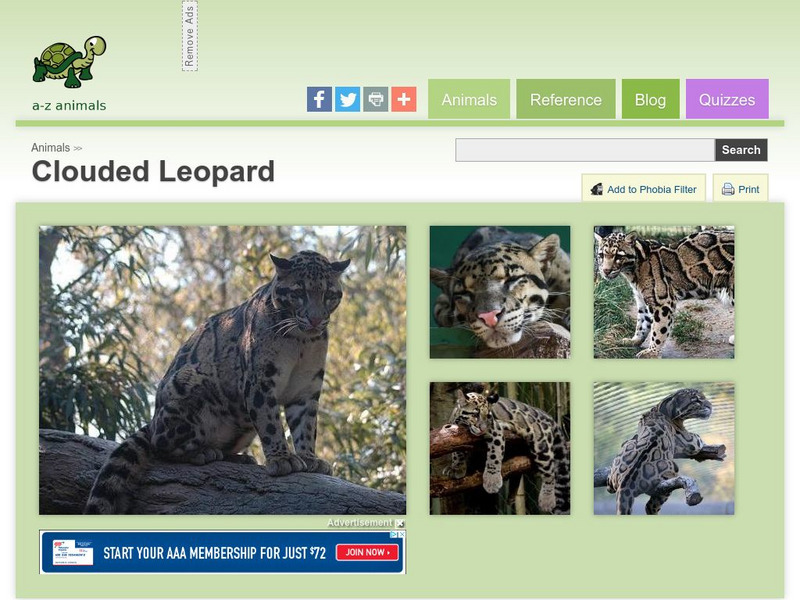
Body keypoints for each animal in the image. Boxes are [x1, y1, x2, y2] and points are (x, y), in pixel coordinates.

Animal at [84, 250, 350, 514]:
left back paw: (239, 458)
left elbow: (306, 426)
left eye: (328, 295)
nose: (315, 320)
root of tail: (153, 417)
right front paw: (282, 459)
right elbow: (271, 424)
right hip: (188, 384)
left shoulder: (307, 388)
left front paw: (310, 459)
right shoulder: (259, 382)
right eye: (299, 293)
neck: (301, 343)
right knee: (159, 443)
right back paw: (202, 453)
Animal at [444, 386, 570, 514]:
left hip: (541, 445)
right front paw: (457, 468)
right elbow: (457, 453)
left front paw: (492, 481)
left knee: (550, 472)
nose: (483, 428)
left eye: (488, 416)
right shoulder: (455, 434)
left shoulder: (495, 431)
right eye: (475, 414)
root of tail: (549, 417)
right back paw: (512, 496)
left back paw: (547, 500)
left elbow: (494, 455)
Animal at [595, 228, 734, 358]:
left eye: (618, 256)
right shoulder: (642, 300)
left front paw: (652, 352)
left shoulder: (662, 302)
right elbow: (642, 323)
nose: (605, 271)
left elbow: (658, 330)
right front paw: (634, 341)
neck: (633, 272)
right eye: (601, 255)